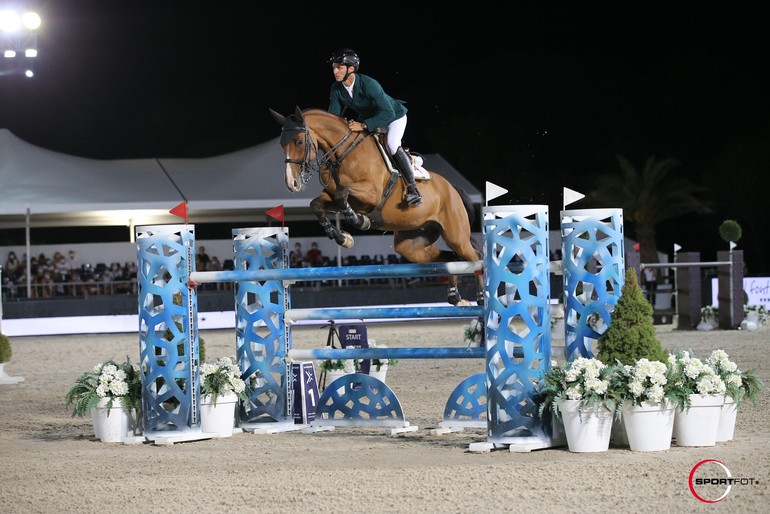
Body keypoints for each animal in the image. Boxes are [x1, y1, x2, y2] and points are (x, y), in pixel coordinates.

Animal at [268, 105, 480, 304]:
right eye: (282, 145)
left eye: (299, 141)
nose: (291, 183)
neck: (343, 153)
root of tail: (452, 188)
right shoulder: (332, 197)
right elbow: (317, 204)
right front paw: (341, 237)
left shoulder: (371, 193)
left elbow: (342, 194)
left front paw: (358, 222)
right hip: (412, 244)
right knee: (450, 259)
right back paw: (455, 297)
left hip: (456, 236)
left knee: (475, 258)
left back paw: (480, 297)